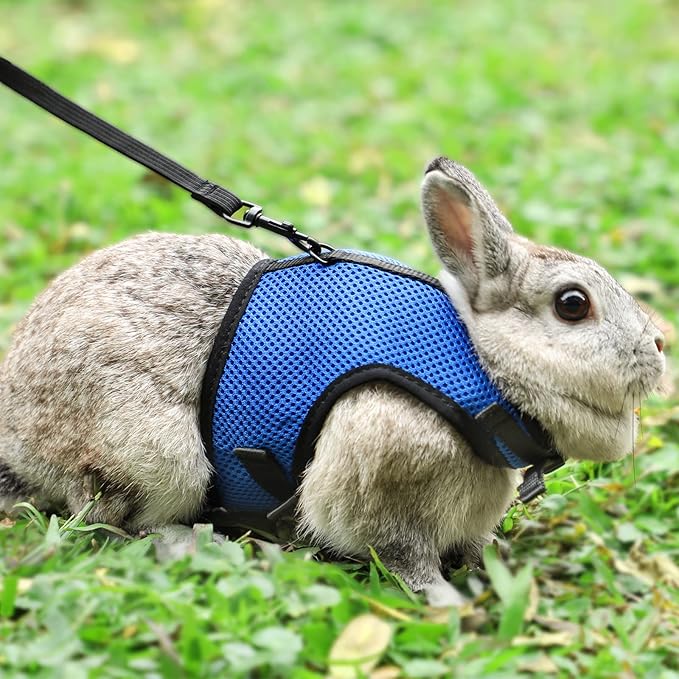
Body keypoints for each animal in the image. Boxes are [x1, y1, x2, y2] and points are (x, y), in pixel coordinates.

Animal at [0, 157, 666, 606]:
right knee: (119, 523)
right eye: (573, 305)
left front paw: (491, 568)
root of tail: (19, 438)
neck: (478, 366)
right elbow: (404, 555)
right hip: (157, 459)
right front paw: (445, 602)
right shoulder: (385, 490)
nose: (660, 347)